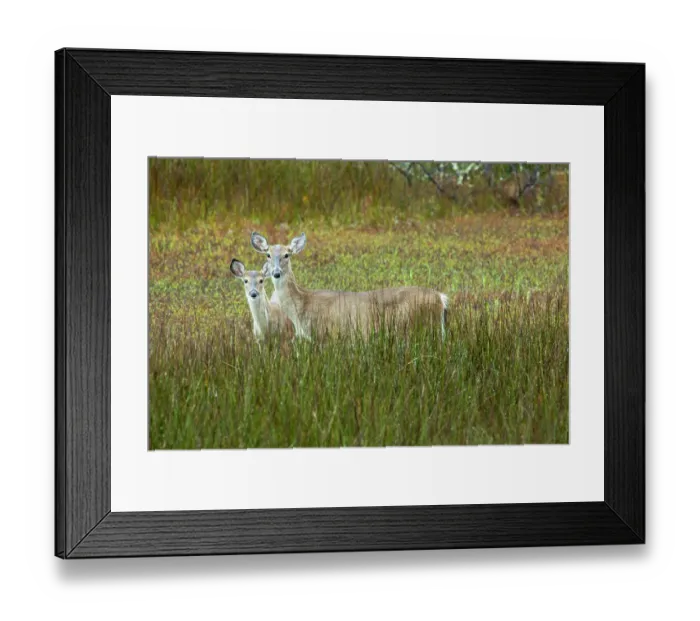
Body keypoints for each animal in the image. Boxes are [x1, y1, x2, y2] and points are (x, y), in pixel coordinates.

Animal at [250, 231, 449, 342]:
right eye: (268, 254)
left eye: (287, 254)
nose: (276, 273)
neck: (302, 305)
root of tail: (441, 298)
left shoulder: (325, 334)